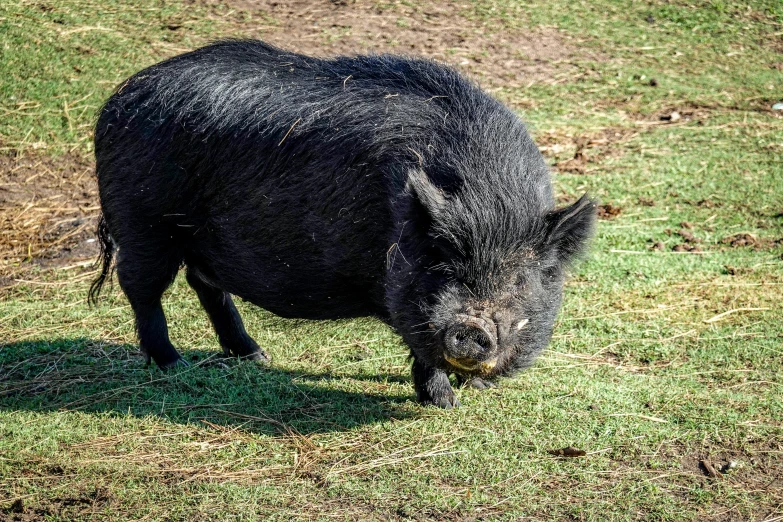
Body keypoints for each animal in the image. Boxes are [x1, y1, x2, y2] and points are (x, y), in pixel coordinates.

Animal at [90, 39, 596, 406]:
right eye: (443, 264)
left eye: (520, 279)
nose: (471, 327)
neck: (491, 201)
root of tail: (119, 97)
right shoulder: (403, 289)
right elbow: (421, 343)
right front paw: (444, 404)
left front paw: (480, 388)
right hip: (142, 219)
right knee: (141, 287)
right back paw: (171, 364)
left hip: (192, 235)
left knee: (204, 282)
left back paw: (256, 356)